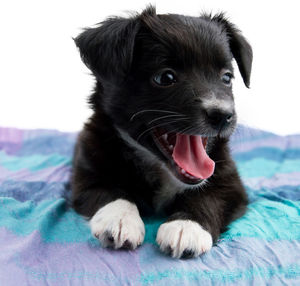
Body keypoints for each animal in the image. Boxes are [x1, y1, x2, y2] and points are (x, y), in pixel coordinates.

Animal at [71, 5, 252, 258]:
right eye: (165, 77)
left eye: (226, 77)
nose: (223, 115)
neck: (160, 168)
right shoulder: (85, 174)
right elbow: (111, 192)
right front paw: (120, 219)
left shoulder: (230, 182)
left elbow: (208, 197)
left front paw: (187, 226)